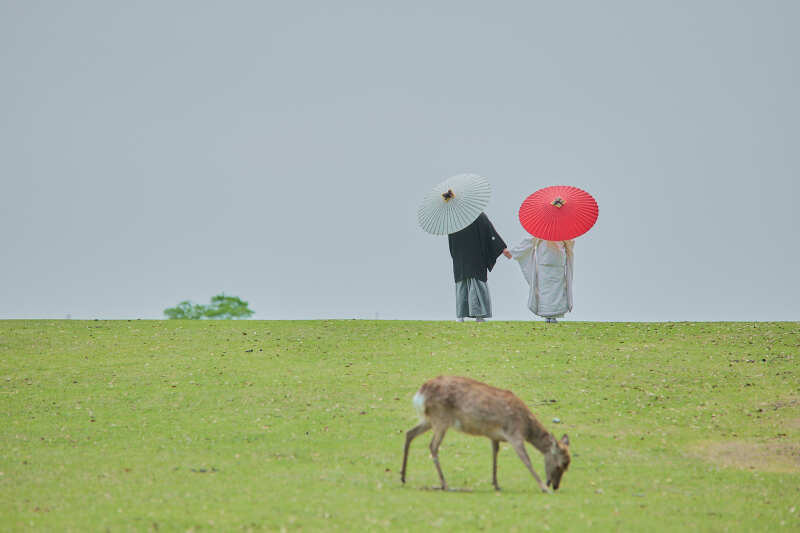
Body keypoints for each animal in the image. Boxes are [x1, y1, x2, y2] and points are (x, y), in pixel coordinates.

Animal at [400, 375, 570, 493]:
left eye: (568, 465)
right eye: (561, 464)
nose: (555, 486)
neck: (526, 426)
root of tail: (419, 394)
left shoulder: (494, 436)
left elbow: (495, 454)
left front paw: (496, 484)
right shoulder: (514, 434)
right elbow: (526, 460)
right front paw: (543, 488)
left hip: (429, 420)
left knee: (409, 433)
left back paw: (403, 477)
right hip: (440, 419)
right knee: (433, 446)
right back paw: (445, 484)